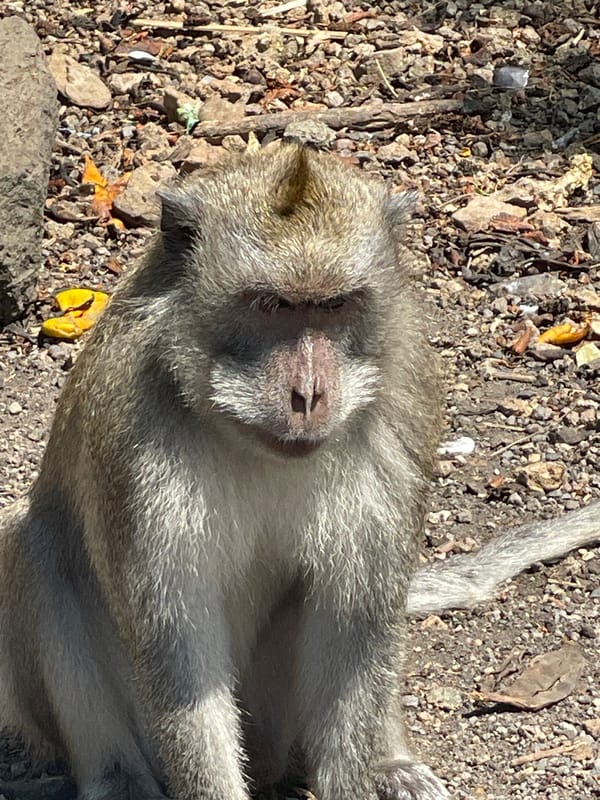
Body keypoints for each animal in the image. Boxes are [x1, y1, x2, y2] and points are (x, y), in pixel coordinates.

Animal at [0, 144, 597, 800]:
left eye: (334, 305)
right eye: (272, 306)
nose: (308, 394)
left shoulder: (404, 398)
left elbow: (356, 622)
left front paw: (366, 770)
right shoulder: (131, 434)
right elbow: (177, 649)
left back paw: (389, 761)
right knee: (36, 549)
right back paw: (116, 778)